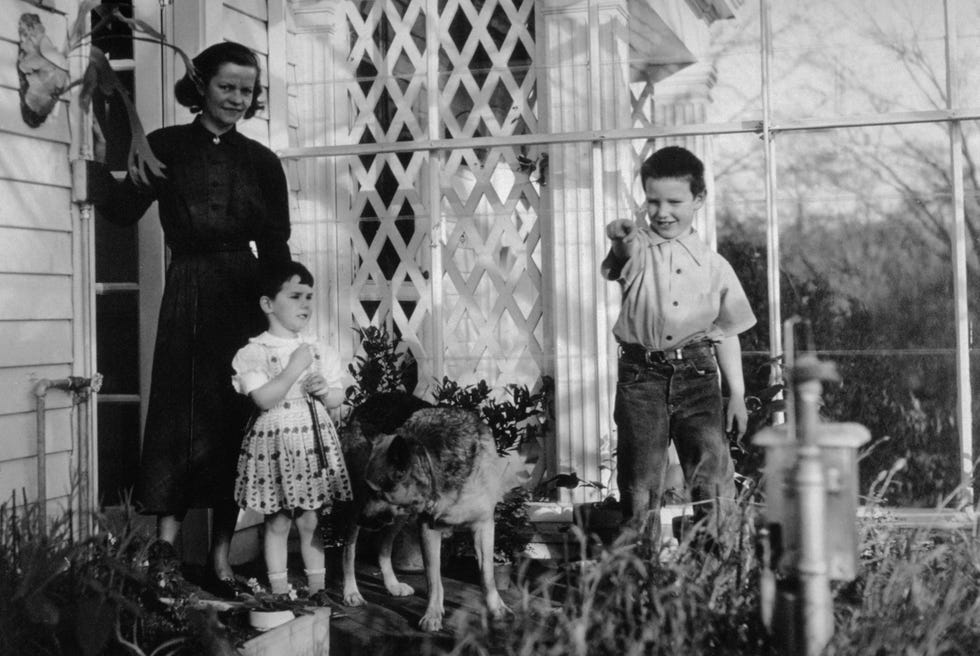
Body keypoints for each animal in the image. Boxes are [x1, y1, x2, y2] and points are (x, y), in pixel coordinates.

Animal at [338, 392, 510, 632]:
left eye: (376, 491)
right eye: (370, 489)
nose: (364, 519)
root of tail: (371, 400)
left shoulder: (484, 525)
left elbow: (487, 575)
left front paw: (496, 608)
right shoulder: (428, 529)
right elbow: (434, 579)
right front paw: (433, 614)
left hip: (399, 515)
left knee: (384, 547)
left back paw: (391, 584)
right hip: (360, 509)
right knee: (349, 549)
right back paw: (351, 591)